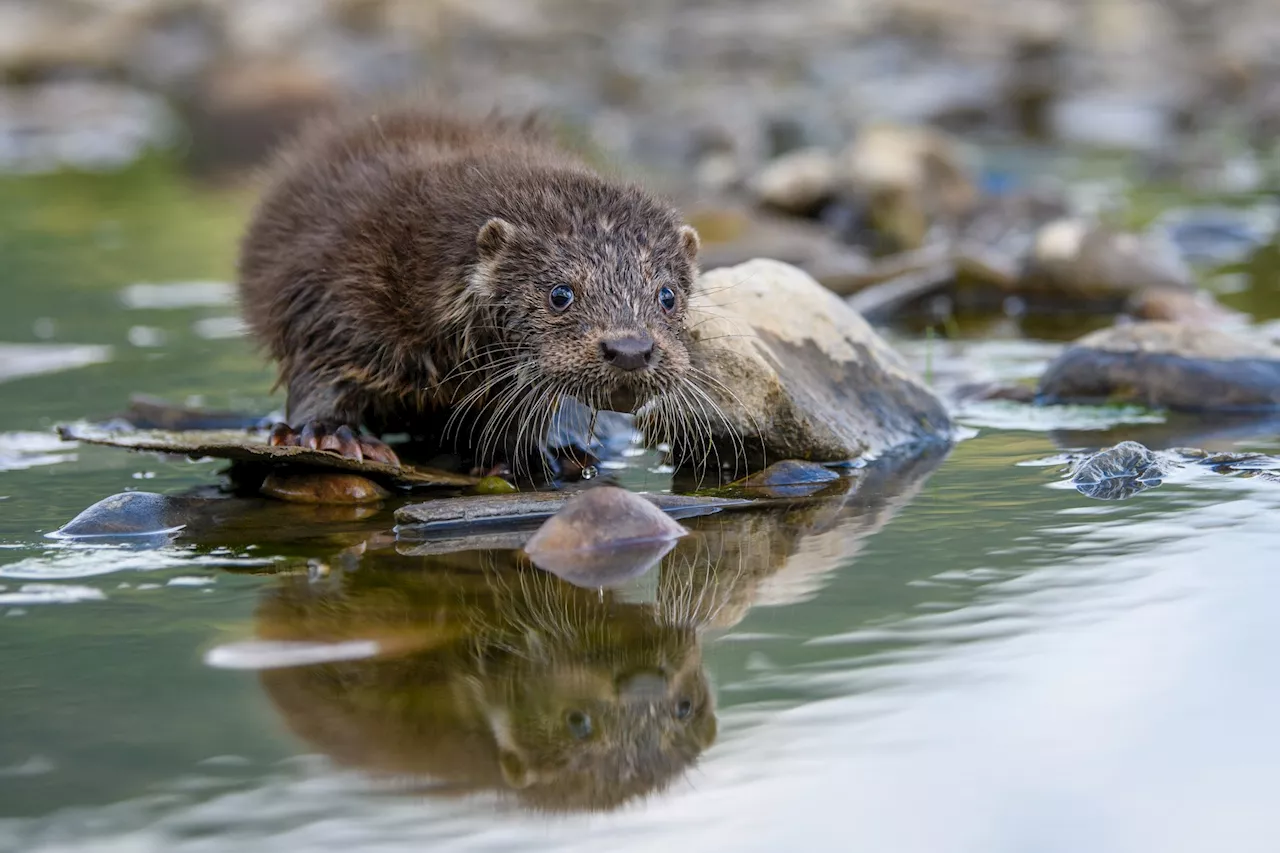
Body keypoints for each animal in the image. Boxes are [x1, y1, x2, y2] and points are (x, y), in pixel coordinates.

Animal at [238, 104, 701, 471]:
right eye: (560, 294)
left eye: (667, 296)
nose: (630, 349)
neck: (416, 259)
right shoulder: (332, 293)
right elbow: (320, 367)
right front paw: (330, 434)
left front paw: (535, 450)